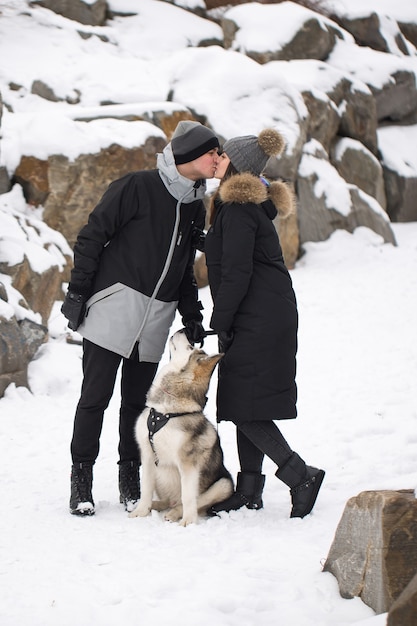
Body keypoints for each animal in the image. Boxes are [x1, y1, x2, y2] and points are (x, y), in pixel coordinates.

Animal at [129, 330, 232, 524]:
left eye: (190, 347)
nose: (183, 330)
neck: (164, 412)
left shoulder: (188, 463)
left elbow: (189, 497)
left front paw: (189, 522)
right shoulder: (147, 455)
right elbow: (145, 487)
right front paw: (141, 510)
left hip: (224, 484)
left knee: (188, 502)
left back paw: (175, 513)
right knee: (167, 500)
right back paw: (156, 505)